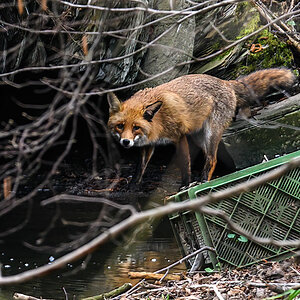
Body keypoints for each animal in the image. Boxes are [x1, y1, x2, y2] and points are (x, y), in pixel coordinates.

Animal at [108, 69, 296, 188]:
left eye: (136, 127)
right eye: (120, 126)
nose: (125, 142)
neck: (158, 121)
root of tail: (225, 82)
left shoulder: (179, 136)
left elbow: (185, 164)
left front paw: (185, 186)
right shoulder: (148, 144)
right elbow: (140, 167)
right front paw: (133, 187)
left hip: (211, 133)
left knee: (212, 159)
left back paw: (203, 181)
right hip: (199, 138)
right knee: (209, 158)